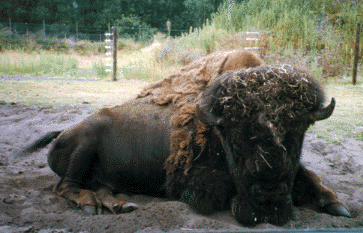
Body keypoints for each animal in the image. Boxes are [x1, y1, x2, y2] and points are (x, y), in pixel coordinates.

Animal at [24, 64, 350, 226]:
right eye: (235, 139)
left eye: (298, 135)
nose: (268, 198)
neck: (215, 130)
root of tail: (63, 132)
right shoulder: (191, 186)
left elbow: (309, 174)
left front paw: (336, 204)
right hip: (86, 143)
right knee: (66, 186)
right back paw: (93, 206)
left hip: (104, 174)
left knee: (101, 187)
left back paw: (121, 205)